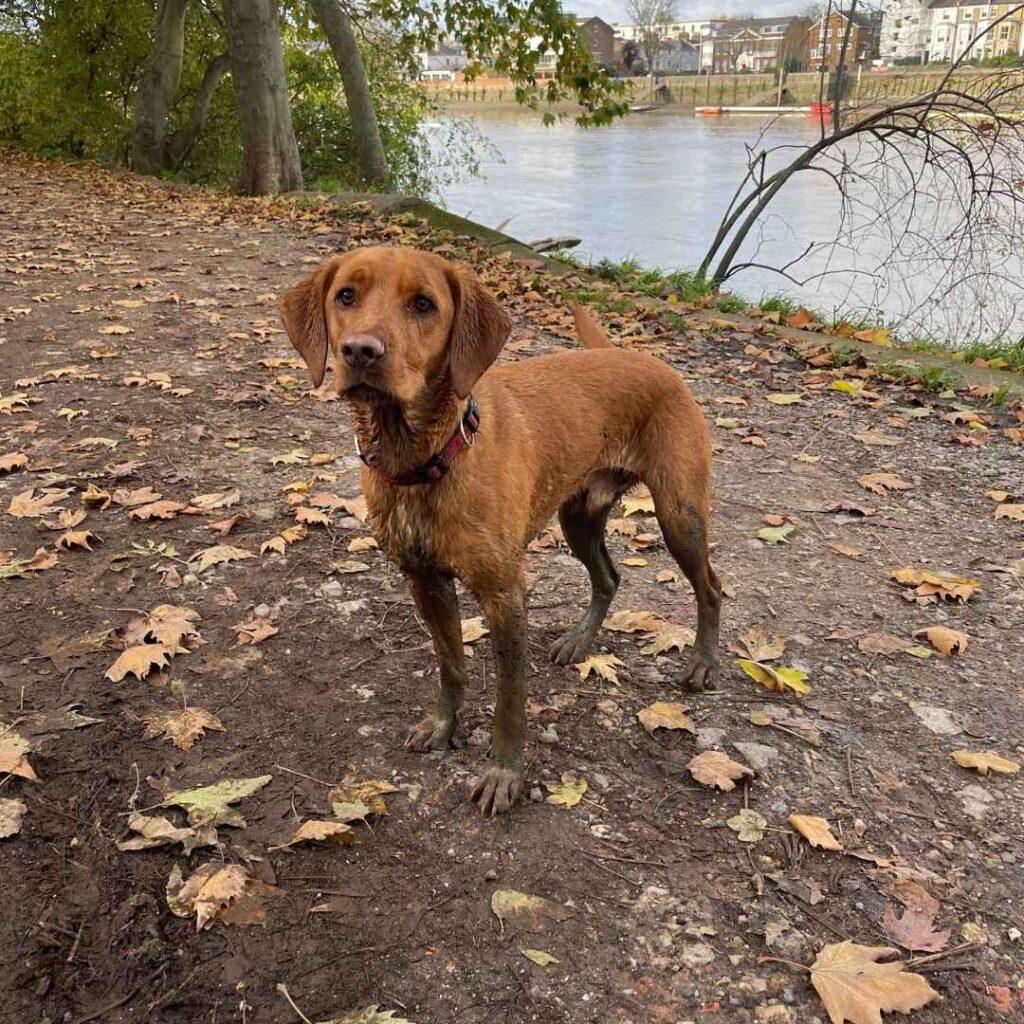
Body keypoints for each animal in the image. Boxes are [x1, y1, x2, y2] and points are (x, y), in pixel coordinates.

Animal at [280, 247, 720, 815]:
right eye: (346, 296)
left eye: (423, 304)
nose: (360, 350)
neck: (422, 459)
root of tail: (639, 356)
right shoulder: (424, 580)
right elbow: (450, 663)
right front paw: (444, 726)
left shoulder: (504, 594)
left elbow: (510, 696)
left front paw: (504, 772)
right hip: (578, 516)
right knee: (608, 577)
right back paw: (579, 641)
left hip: (679, 515)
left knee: (710, 587)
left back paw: (703, 664)